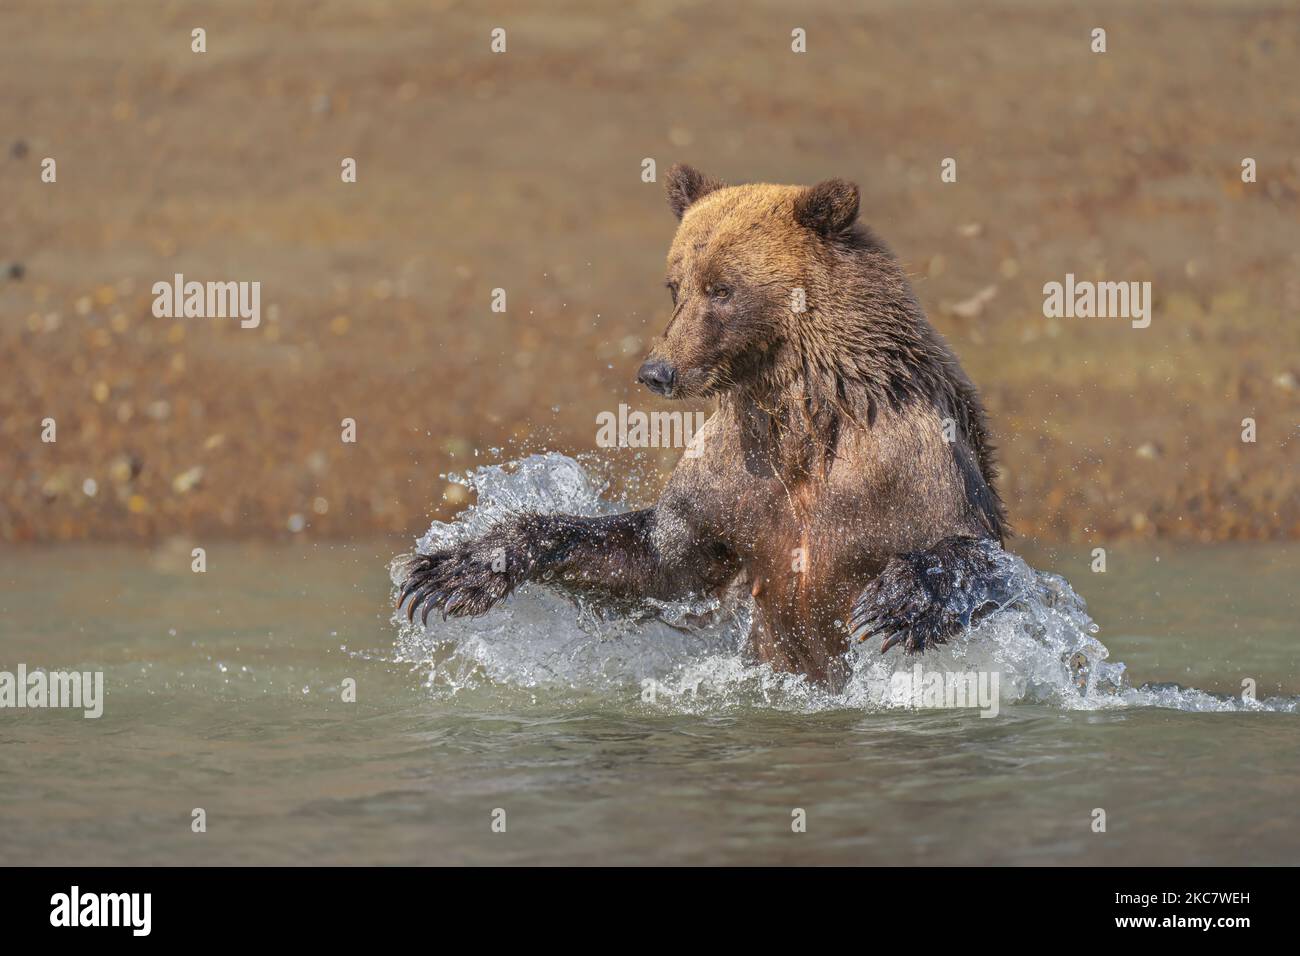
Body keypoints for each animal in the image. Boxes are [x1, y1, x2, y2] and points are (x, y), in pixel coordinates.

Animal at [395, 164, 1013, 686]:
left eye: (722, 288)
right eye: (676, 285)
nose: (657, 371)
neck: (802, 420)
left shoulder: (904, 466)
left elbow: (975, 553)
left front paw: (898, 604)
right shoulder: (732, 484)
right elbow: (657, 556)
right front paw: (455, 567)